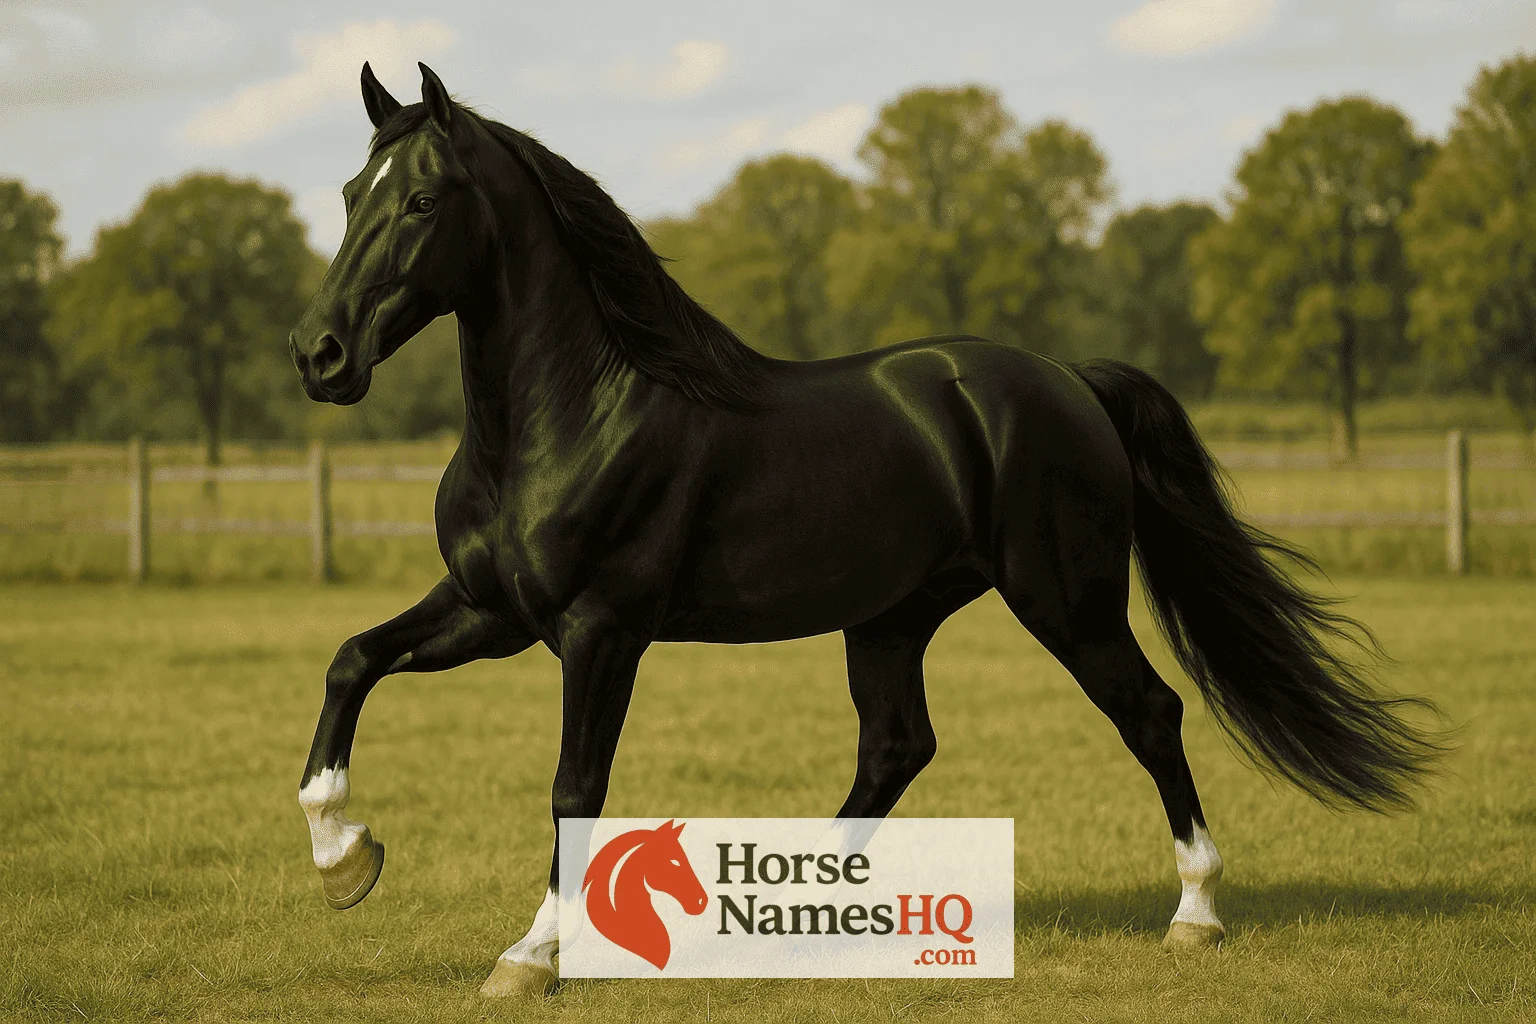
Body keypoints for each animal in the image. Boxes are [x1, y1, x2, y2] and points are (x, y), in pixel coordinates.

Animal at [289, 63, 1442, 998]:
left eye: (423, 199)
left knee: (1149, 713)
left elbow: (575, 784)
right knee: (898, 745)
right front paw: (346, 859)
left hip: (1064, 600)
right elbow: (352, 660)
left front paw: (529, 956)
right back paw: (790, 918)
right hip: (893, 617)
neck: (569, 415)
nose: (321, 355)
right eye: (349, 194)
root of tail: (1069, 380)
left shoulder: (600, 628)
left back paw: (1195, 916)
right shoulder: (491, 610)